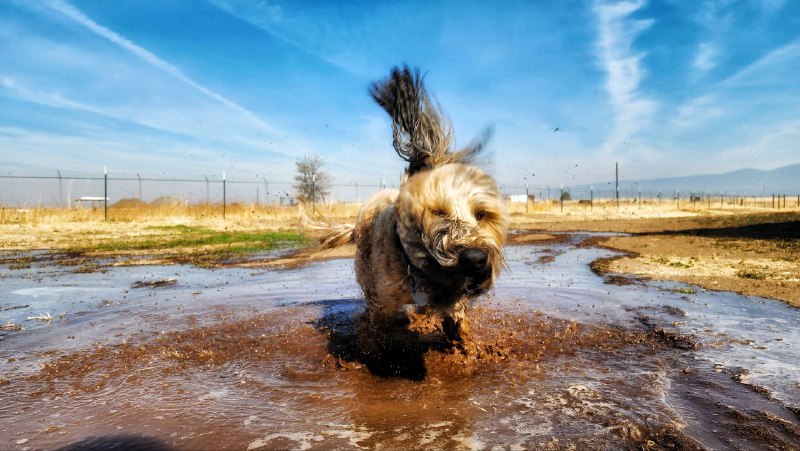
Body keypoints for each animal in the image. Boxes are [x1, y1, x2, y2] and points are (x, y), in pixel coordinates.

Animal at [318, 66, 506, 356]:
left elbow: (458, 327)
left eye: (482, 215)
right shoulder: (382, 302)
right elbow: (374, 333)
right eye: (437, 211)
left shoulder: (453, 302)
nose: (475, 259)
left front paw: (469, 350)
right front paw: (369, 352)